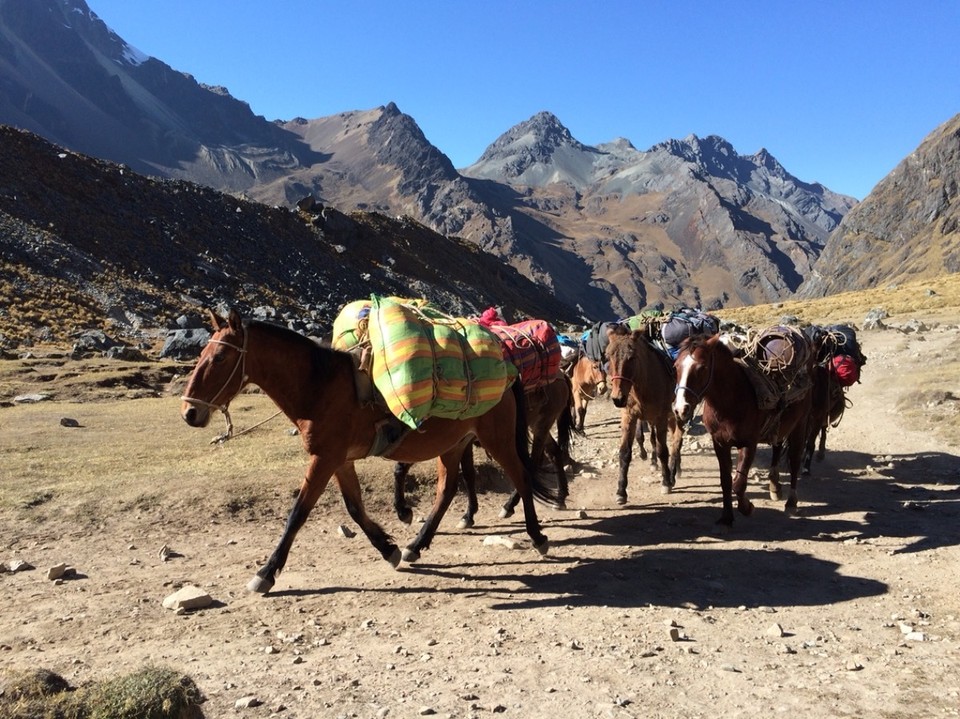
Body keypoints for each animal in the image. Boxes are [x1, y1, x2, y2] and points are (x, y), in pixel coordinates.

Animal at [182, 310, 556, 592]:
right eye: (200, 355)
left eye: (219, 357)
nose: (189, 413)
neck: (318, 387)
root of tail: (508, 371)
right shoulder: (338, 461)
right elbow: (354, 507)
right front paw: (389, 549)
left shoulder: (325, 459)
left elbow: (298, 513)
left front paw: (266, 573)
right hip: (454, 443)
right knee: (447, 489)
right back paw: (415, 545)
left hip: (497, 438)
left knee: (521, 477)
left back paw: (538, 537)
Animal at [608, 324, 684, 504]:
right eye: (608, 356)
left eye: (632, 357)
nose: (618, 398)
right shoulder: (629, 416)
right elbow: (624, 452)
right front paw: (621, 491)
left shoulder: (661, 417)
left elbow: (663, 450)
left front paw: (665, 482)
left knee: (677, 440)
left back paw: (673, 472)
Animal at [672, 334, 812, 524]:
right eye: (675, 366)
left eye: (701, 367)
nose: (681, 409)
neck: (730, 402)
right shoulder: (720, 443)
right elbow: (726, 481)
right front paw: (726, 517)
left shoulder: (748, 444)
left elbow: (738, 483)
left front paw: (747, 507)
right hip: (779, 427)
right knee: (777, 448)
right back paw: (775, 487)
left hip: (799, 425)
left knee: (795, 459)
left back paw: (791, 503)